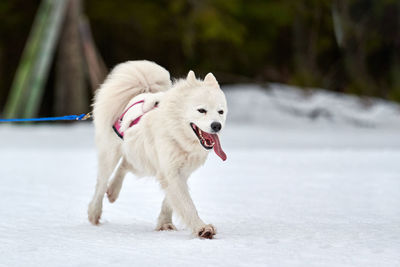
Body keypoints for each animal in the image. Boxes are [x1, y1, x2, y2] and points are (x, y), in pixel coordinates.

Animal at [89, 60, 230, 239]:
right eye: (201, 110)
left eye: (220, 112)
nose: (217, 126)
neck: (177, 136)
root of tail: (137, 96)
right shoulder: (170, 172)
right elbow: (187, 204)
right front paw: (202, 228)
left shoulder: (180, 172)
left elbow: (170, 201)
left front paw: (165, 224)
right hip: (111, 155)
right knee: (101, 183)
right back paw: (94, 213)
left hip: (142, 161)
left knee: (125, 165)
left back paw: (113, 192)